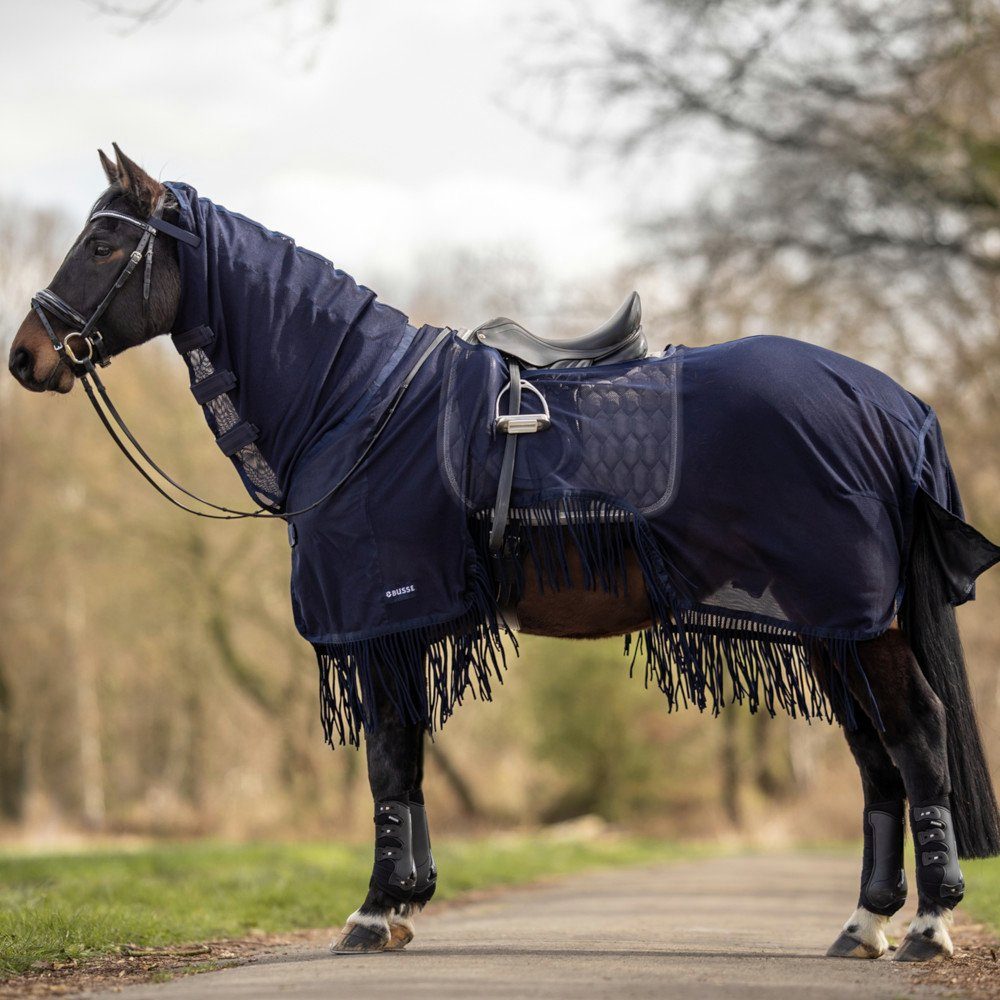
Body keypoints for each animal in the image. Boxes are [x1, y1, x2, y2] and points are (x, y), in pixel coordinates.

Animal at [9, 146, 1000, 960]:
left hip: (857, 622)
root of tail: (893, 404)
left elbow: (387, 759)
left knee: (917, 738)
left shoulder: (381, 617)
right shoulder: (401, 625)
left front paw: (373, 910)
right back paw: (864, 922)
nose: (25, 357)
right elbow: (405, 760)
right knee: (877, 757)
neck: (355, 399)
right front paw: (407, 898)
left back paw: (926, 925)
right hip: (835, 628)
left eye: (103, 241)